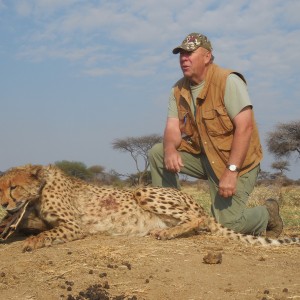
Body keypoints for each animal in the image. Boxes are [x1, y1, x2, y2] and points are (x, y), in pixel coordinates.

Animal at [0, 164, 298, 251]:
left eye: (13, 187)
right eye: (1, 187)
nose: (3, 203)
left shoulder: (74, 225)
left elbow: (48, 232)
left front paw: (33, 241)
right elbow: (31, 225)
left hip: (142, 190)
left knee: (196, 219)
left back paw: (166, 233)